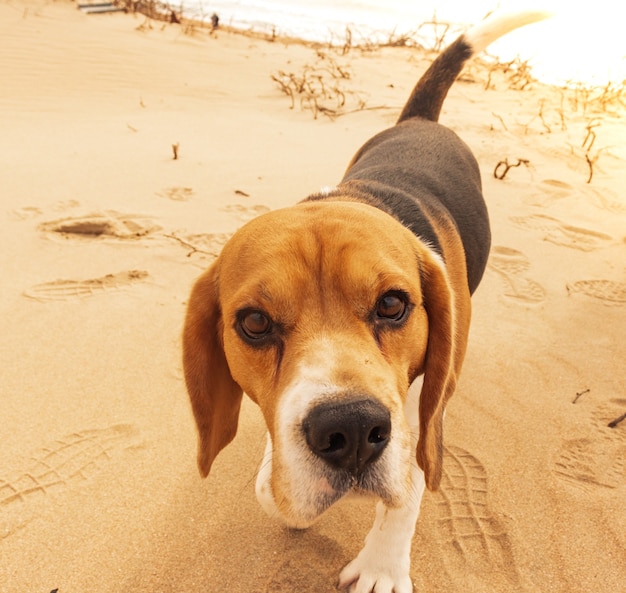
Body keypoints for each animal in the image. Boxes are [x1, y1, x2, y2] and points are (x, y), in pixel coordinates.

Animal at [183, 10, 548, 592]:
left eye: (394, 305)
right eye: (255, 322)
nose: (350, 429)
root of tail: (420, 120)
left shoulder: (420, 409)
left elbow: (414, 476)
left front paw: (381, 567)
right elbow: (273, 478)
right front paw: (280, 487)